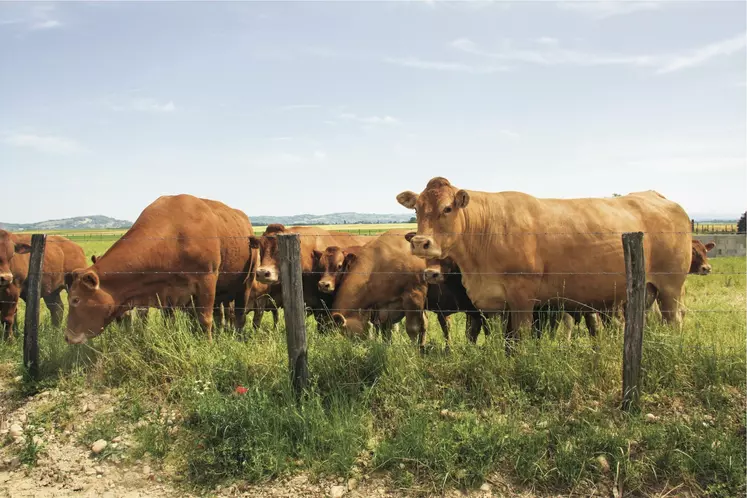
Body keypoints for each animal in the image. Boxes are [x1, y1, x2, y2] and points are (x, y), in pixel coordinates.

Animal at [65, 194, 258, 342]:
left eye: (75, 299)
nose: (67, 337)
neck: (175, 235)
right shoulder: (166, 293)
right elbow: (169, 322)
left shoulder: (207, 281)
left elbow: (205, 319)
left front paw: (208, 344)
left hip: (245, 284)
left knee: (239, 314)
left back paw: (237, 337)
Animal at [400, 174, 692, 342]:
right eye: (416, 208)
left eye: (448, 208)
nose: (420, 243)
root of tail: (656, 196)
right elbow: (504, 339)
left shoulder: (522, 296)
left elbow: (520, 336)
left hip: (671, 286)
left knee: (674, 319)